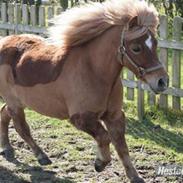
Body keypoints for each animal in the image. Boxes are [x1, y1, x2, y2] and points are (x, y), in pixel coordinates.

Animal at [0, 0, 169, 183]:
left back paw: (7, 148)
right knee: (21, 128)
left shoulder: (115, 116)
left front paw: (135, 176)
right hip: (15, 103)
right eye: (136, 48)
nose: (162, 81)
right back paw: (41, 156)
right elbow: (105, 137)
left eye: (155, 43)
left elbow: (121, 145)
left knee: (5, 114)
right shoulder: (81, 118)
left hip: (18, 102)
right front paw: (100, 163)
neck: (93, 70)